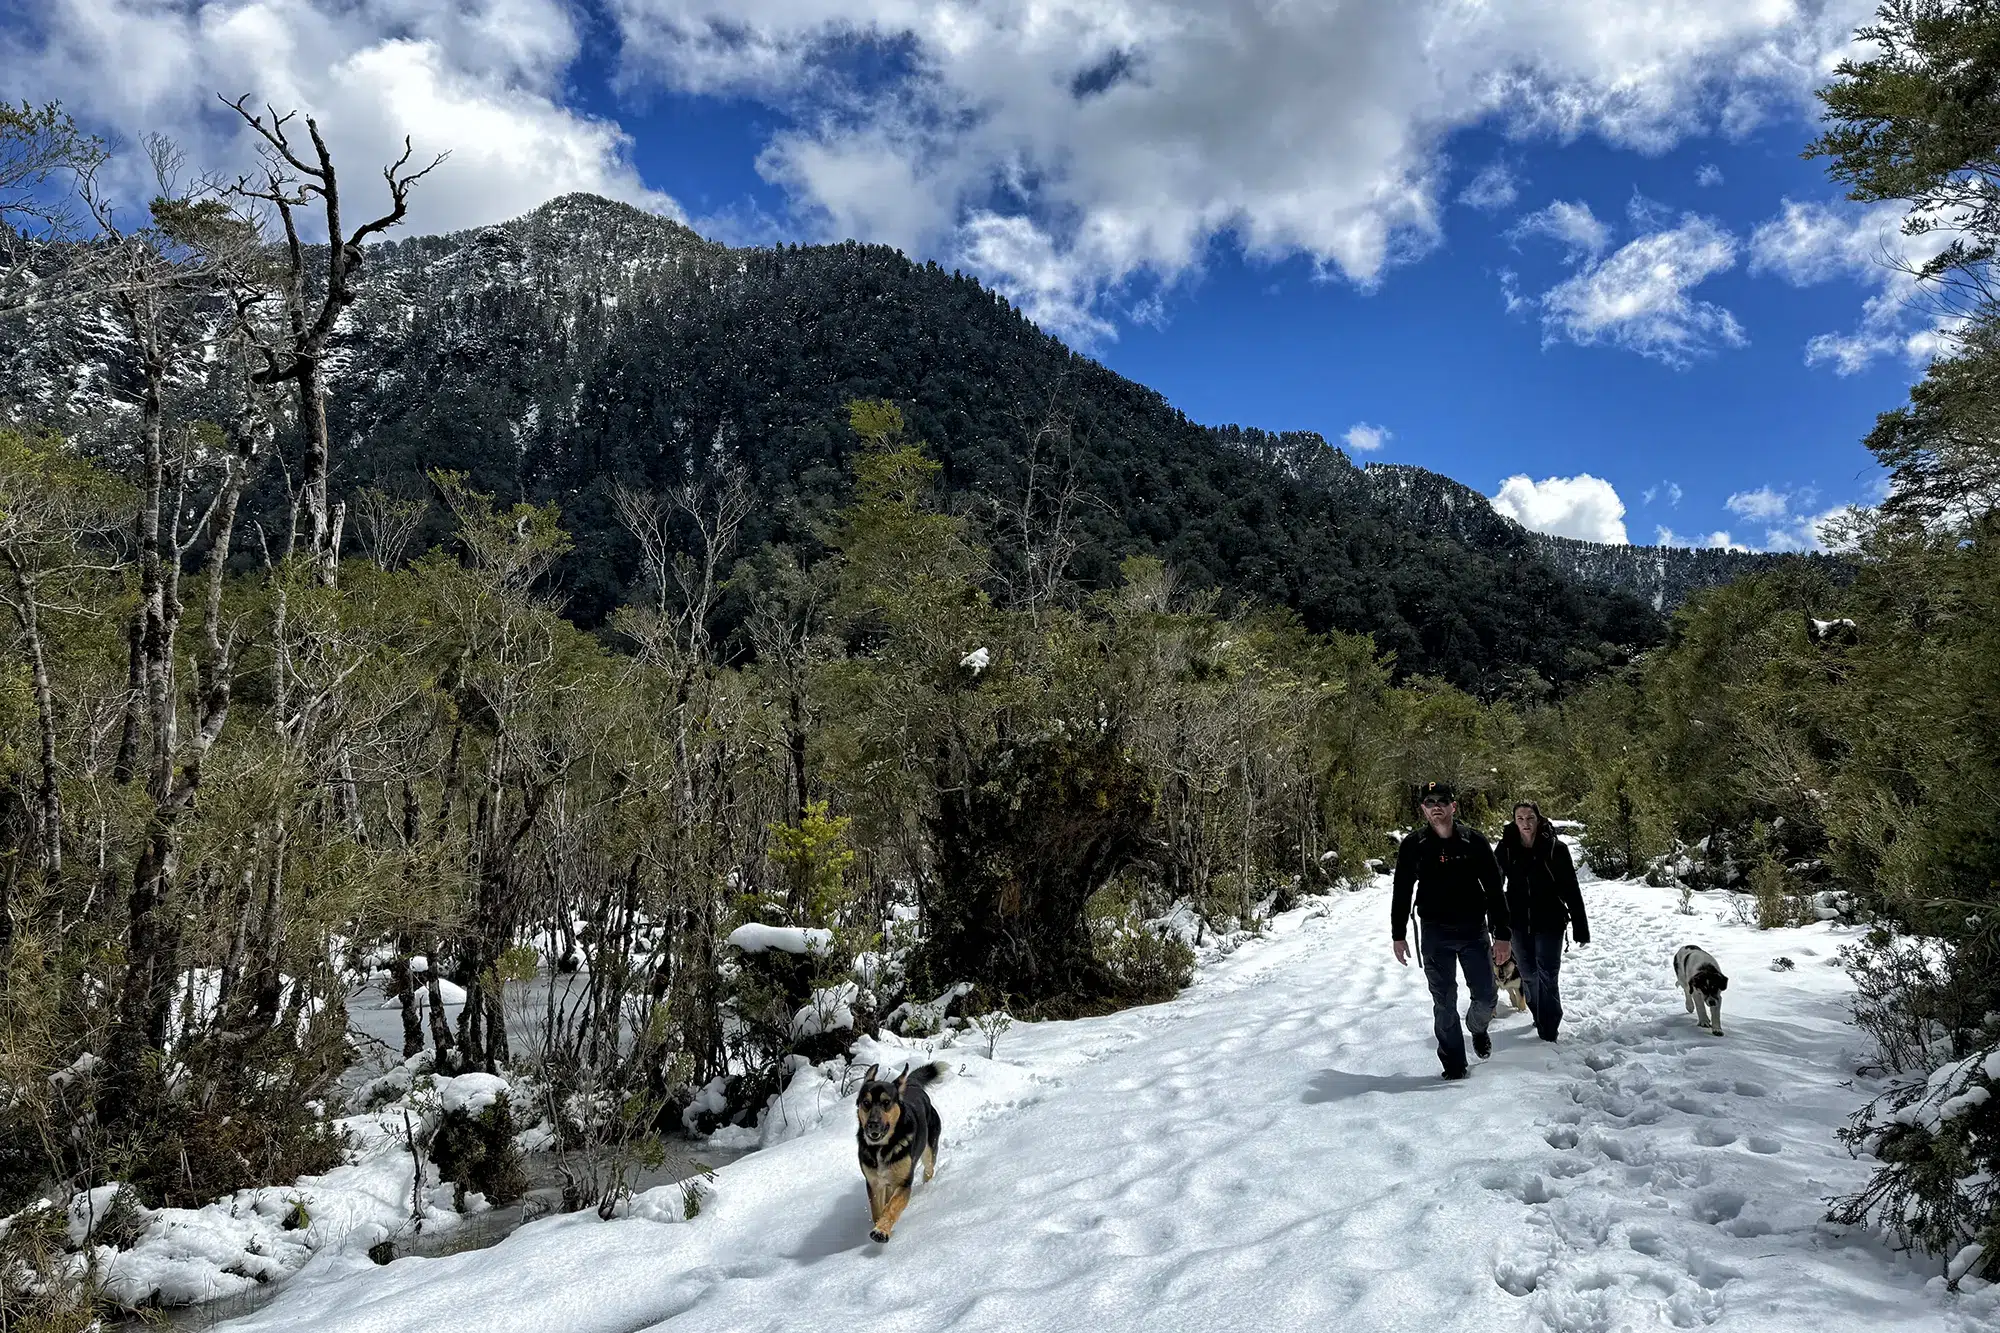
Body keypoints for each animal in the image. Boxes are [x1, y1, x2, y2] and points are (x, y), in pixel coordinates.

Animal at [856, 1056, 948, 1240]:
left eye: (886, 1102)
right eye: (866, 1103)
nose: (872, 1125)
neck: (882, 1147)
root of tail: (912, 1085)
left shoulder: (903, 1182)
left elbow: (892, 1207)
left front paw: (881, 1230)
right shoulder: (874, 1183)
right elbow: (877, 1208)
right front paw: (878, 1222)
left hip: (929, 1151)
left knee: (929, 1169)